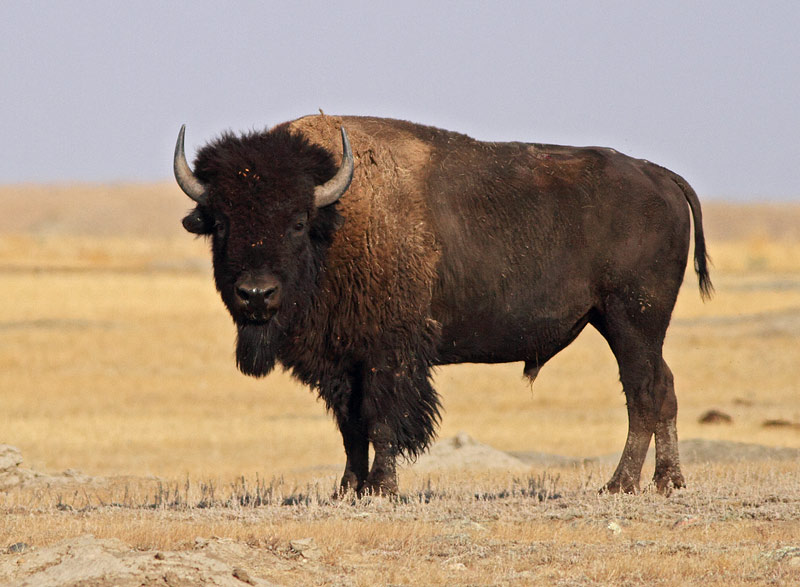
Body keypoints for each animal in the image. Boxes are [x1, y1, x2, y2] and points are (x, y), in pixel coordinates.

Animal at [173, 114, 712, 495]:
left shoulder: (388, 354)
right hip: (629, 325)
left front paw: (382, 489)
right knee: (663, 387)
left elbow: (381, 419)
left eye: (297, 222)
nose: (256, 294)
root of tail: (657, 175)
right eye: (221, 223)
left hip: (631, 320)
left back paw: (621, 484)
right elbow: (350, 425)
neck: (339, 219)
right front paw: (347, 489)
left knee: (644, 391)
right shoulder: (341, 360)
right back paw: (667, 482)